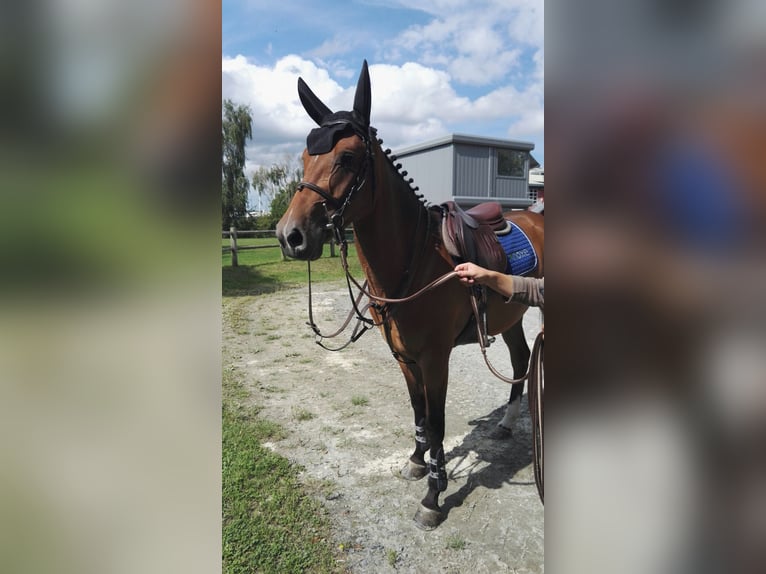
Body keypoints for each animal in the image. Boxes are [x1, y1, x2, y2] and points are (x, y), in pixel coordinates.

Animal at [278, 62, 544, 532]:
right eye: (307, 156)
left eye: (347, 157)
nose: (290, 236)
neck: (416, 261)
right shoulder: (404, 357)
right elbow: (418, 413)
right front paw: (418, 462)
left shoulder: (436, 359)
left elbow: (436, 424)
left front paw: (433, 496)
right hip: (510, 316)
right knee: (519, 358)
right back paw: (507, 423)